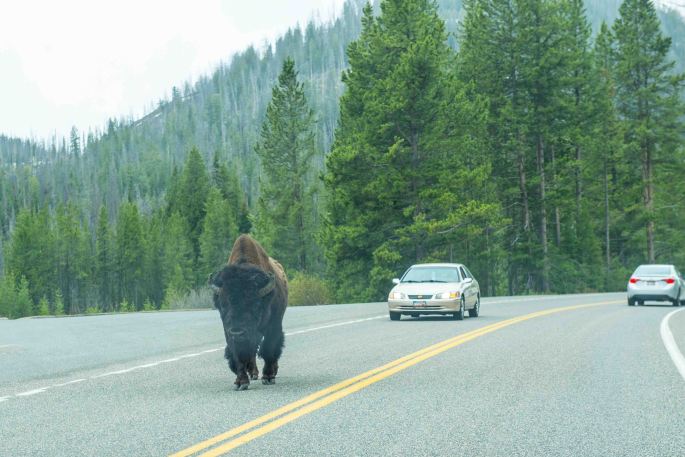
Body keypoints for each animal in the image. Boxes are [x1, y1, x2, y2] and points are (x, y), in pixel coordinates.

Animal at [209, 234, 288, 390]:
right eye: (223, 305)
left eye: (255, 305)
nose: (238, 332)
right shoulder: (229, 331)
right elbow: (238, 353)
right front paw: (240, 382)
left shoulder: (274, 325)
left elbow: (269, 347)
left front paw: (268, 377)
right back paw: (253, 373)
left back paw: (271, 372)